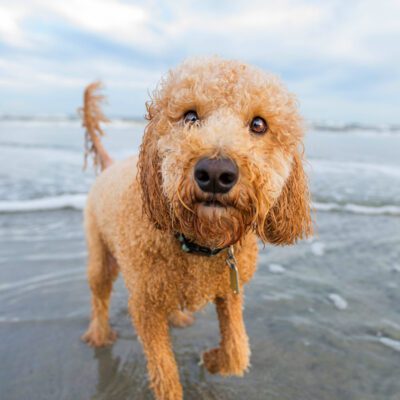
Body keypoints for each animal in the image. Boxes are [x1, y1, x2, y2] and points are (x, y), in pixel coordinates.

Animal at [80, 57, 312, 400]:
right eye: (190, 116)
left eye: (259, 124)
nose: (215, 172)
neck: (198, 242)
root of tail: (110, 166)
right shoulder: (145, 307)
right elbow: (165, 374)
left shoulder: (230, 291)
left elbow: (237, 350)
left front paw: (214, 360)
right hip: (99, 253)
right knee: (99, 294)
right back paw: (99, 333)